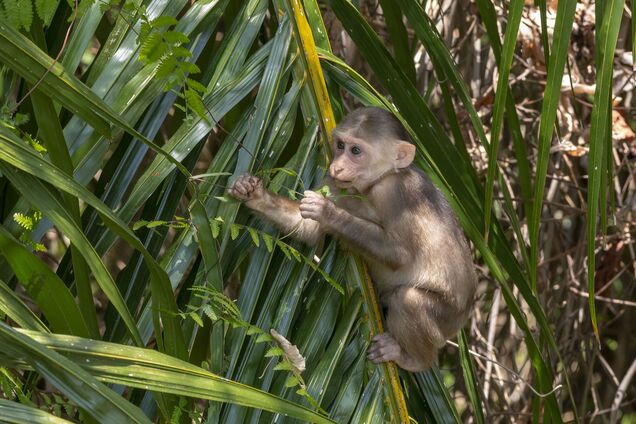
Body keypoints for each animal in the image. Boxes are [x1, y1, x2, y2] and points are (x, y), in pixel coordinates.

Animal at [229, 107, 476, 372]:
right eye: (340, 145)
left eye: (356, 151)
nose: (337, 166)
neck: (376, 182)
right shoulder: (334, 183)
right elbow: (308, 230)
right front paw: (253, 193)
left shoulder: (396, 192)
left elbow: (400, 255)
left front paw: (329, 212)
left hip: (447, 318)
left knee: (409, 300)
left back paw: (414, 360)